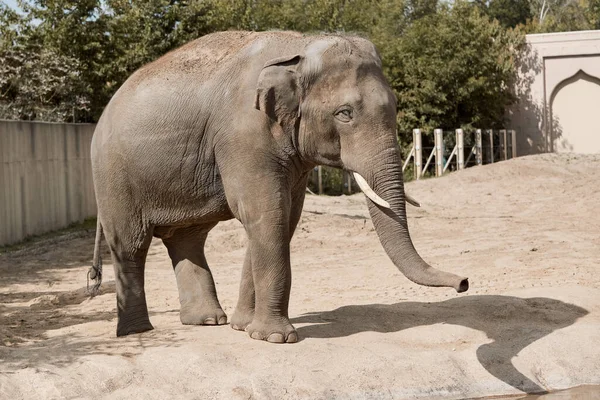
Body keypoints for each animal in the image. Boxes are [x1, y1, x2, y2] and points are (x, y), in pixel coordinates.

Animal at [88, 30, 468, 344]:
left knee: (188, 240)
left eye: (395, 107)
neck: (298, 47)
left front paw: (244, 328)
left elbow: (285, 217)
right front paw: (277, 338)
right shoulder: (244, 134)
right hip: (113, 176)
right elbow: (264, 212)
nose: (464, 283)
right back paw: (138, 332)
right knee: (130, 244)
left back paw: (208, 321)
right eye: (344, 113)